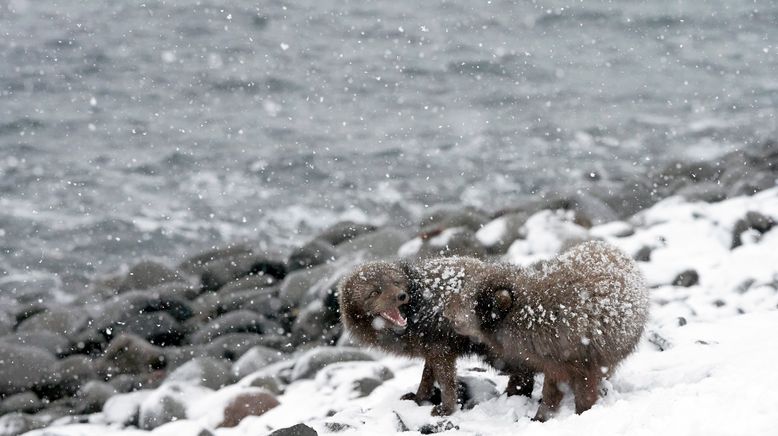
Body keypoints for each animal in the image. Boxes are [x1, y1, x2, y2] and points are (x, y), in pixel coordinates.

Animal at [442, 240, 648, 420]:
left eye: (469, 300)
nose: (446, 310)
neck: (533, 312)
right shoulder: (553, 363)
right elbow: (552, 392)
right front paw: (541, 417)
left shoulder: (583, 361)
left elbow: (584, 393)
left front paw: (583, 414)